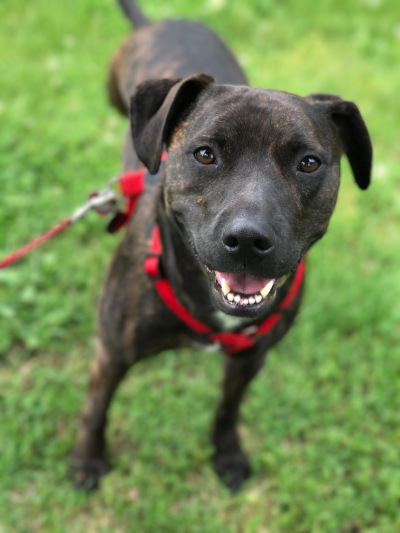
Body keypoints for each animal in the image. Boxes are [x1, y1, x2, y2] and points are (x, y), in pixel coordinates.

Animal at [69, 0, 372, 492]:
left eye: (309, 163)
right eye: (205, 154)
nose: (248, 239)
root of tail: (158, 21)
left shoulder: (249, 360)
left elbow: (229, 409)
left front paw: (227, 453)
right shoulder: (111, 354)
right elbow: (96, 408)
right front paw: (86, 462)